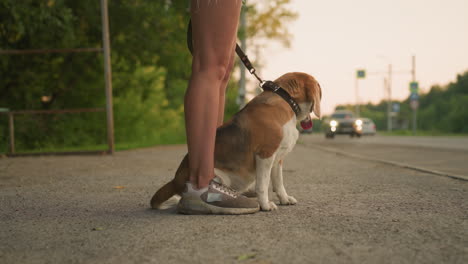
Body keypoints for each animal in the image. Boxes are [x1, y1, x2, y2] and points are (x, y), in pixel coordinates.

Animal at [152, 71, 320, 211]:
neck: (286, 100)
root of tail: (175, 180)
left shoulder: (278, 159)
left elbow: (279, 182)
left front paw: (284, 199)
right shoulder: (265, 155)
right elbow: (263, 184)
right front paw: (265, 205)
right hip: (218, 176)